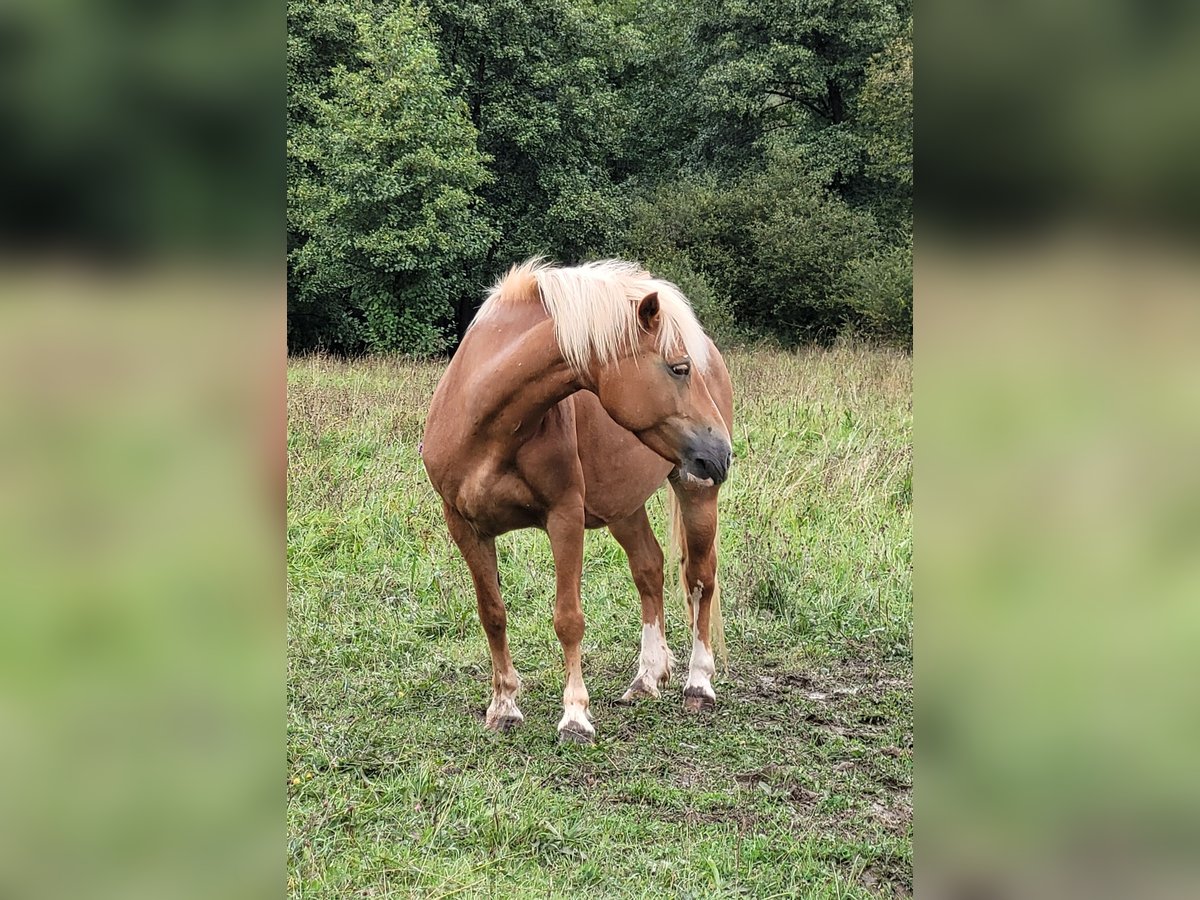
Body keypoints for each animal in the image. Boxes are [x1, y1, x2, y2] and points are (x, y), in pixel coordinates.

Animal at [422, 256, 739, 744]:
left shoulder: (564, 519)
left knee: (700, 579)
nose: (721, 452)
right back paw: (646, 678)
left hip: (695, 491)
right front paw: (504, 706)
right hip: (624, 505)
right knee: (649, 569)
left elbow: (568, 618)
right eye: (679, 368)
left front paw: (574, 716)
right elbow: (492, 613)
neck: (485, 423)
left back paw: (698, 684)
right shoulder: (464, 526)